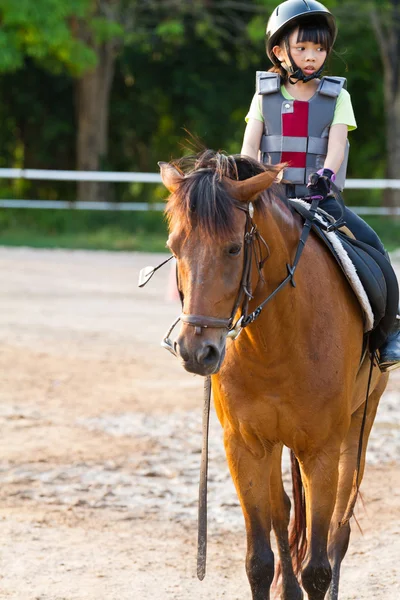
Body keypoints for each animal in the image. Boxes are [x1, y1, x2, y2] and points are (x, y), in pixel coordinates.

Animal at [159, 150, 388, 600]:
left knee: (339, 527)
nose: (196, 351)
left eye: (233, 248)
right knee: (283, 511)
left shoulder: (320, 450)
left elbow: (318, 565)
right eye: (174, 247)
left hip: (360, 424)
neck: (277, 339)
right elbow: (259, 562)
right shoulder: (245, 446)